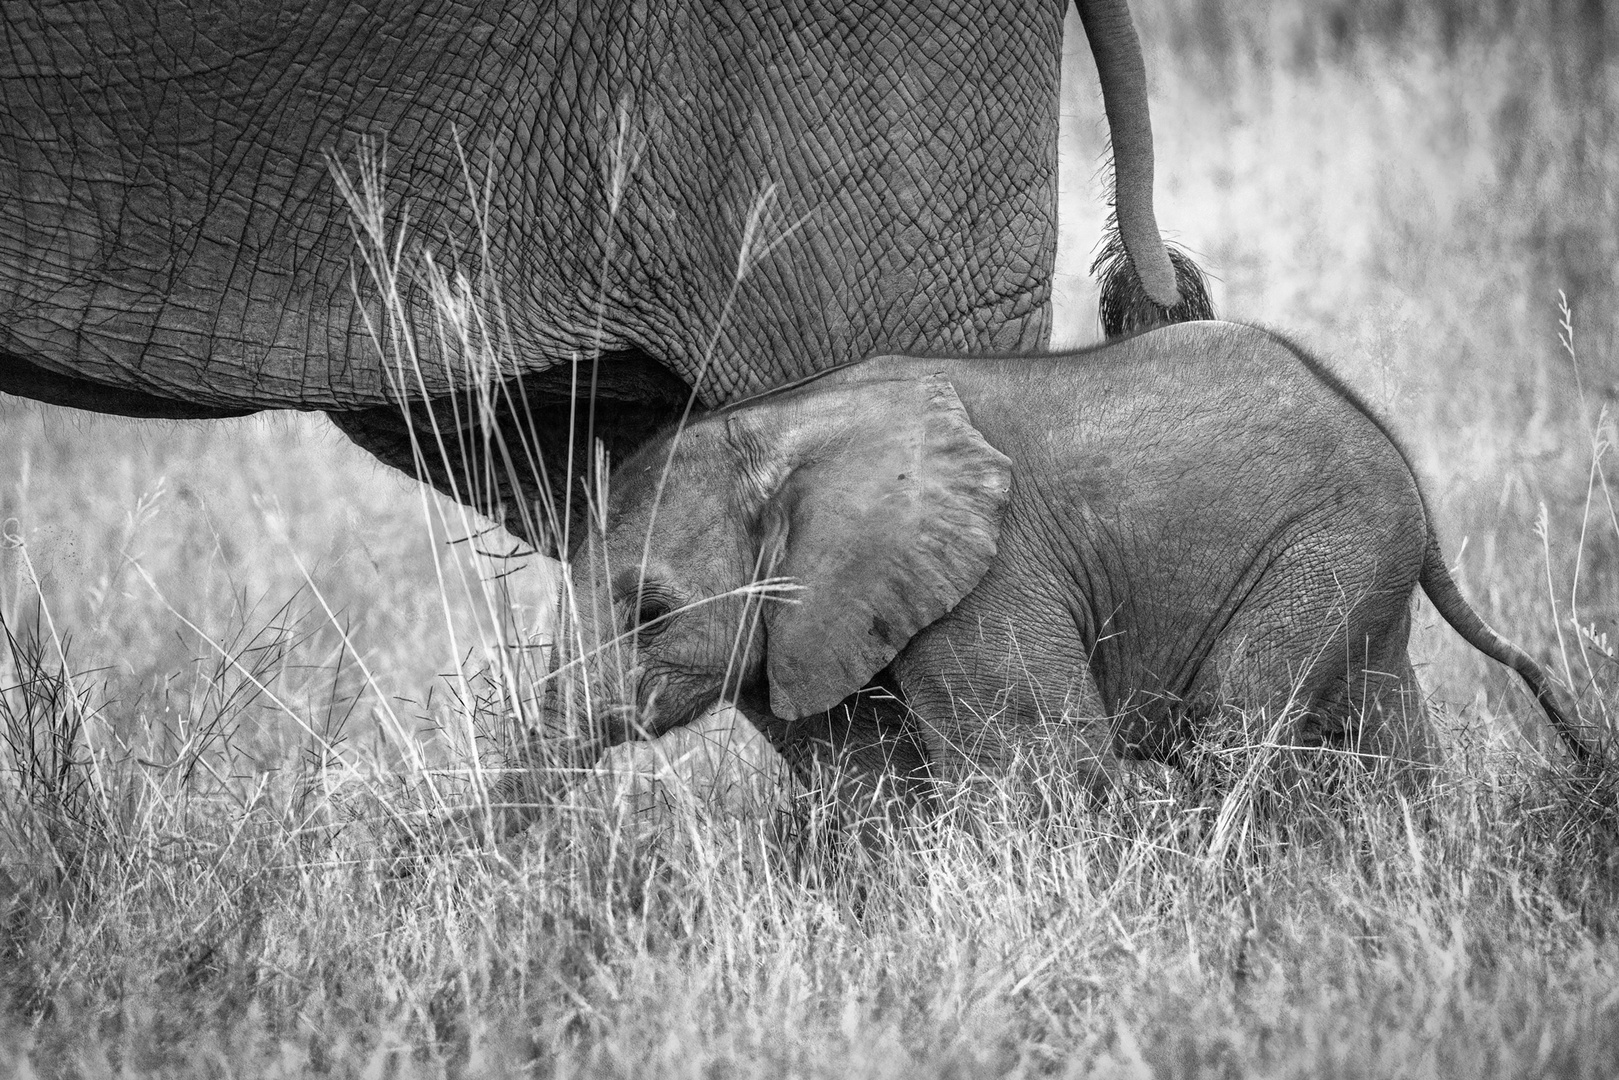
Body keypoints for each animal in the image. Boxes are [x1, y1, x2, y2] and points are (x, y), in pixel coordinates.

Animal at [521, 320, 1593, 835]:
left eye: (651, 610)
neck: (780, 425)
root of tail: (1392, 449)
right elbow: (870, 780)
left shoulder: (986, 580)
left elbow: (1030, 763)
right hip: (1360, 567)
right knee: (1378, 742)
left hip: (1324, 548)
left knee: (1237, 729)